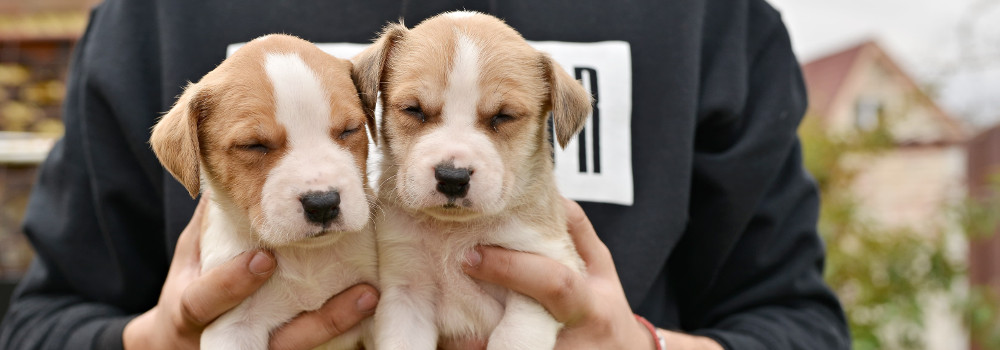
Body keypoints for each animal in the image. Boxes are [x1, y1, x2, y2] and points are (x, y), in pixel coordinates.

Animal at [354, 10, 592, 350]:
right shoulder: (406, 292)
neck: (454, 232)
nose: (452, 178)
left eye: (504, 116)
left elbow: (512, 337)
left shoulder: (541, 276)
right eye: (413, 109)